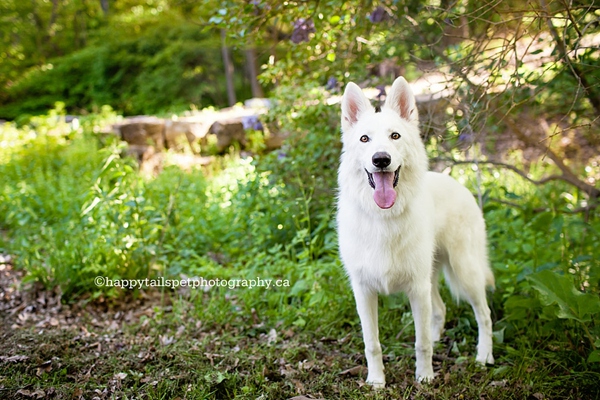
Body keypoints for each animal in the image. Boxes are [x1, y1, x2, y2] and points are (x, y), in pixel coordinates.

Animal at [336, 76, 494, 386]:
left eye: (395, 136)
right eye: (364, 139)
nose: (381, 159)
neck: (383, 218)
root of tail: (458, 184)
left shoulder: (416, 289)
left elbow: (420, 344)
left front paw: (425, 377)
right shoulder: (364, 291)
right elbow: (372, 343)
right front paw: (376, 381)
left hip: (464, 272)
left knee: (484, 315)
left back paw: (484, 356)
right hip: (432, 279)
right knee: (440, 311)